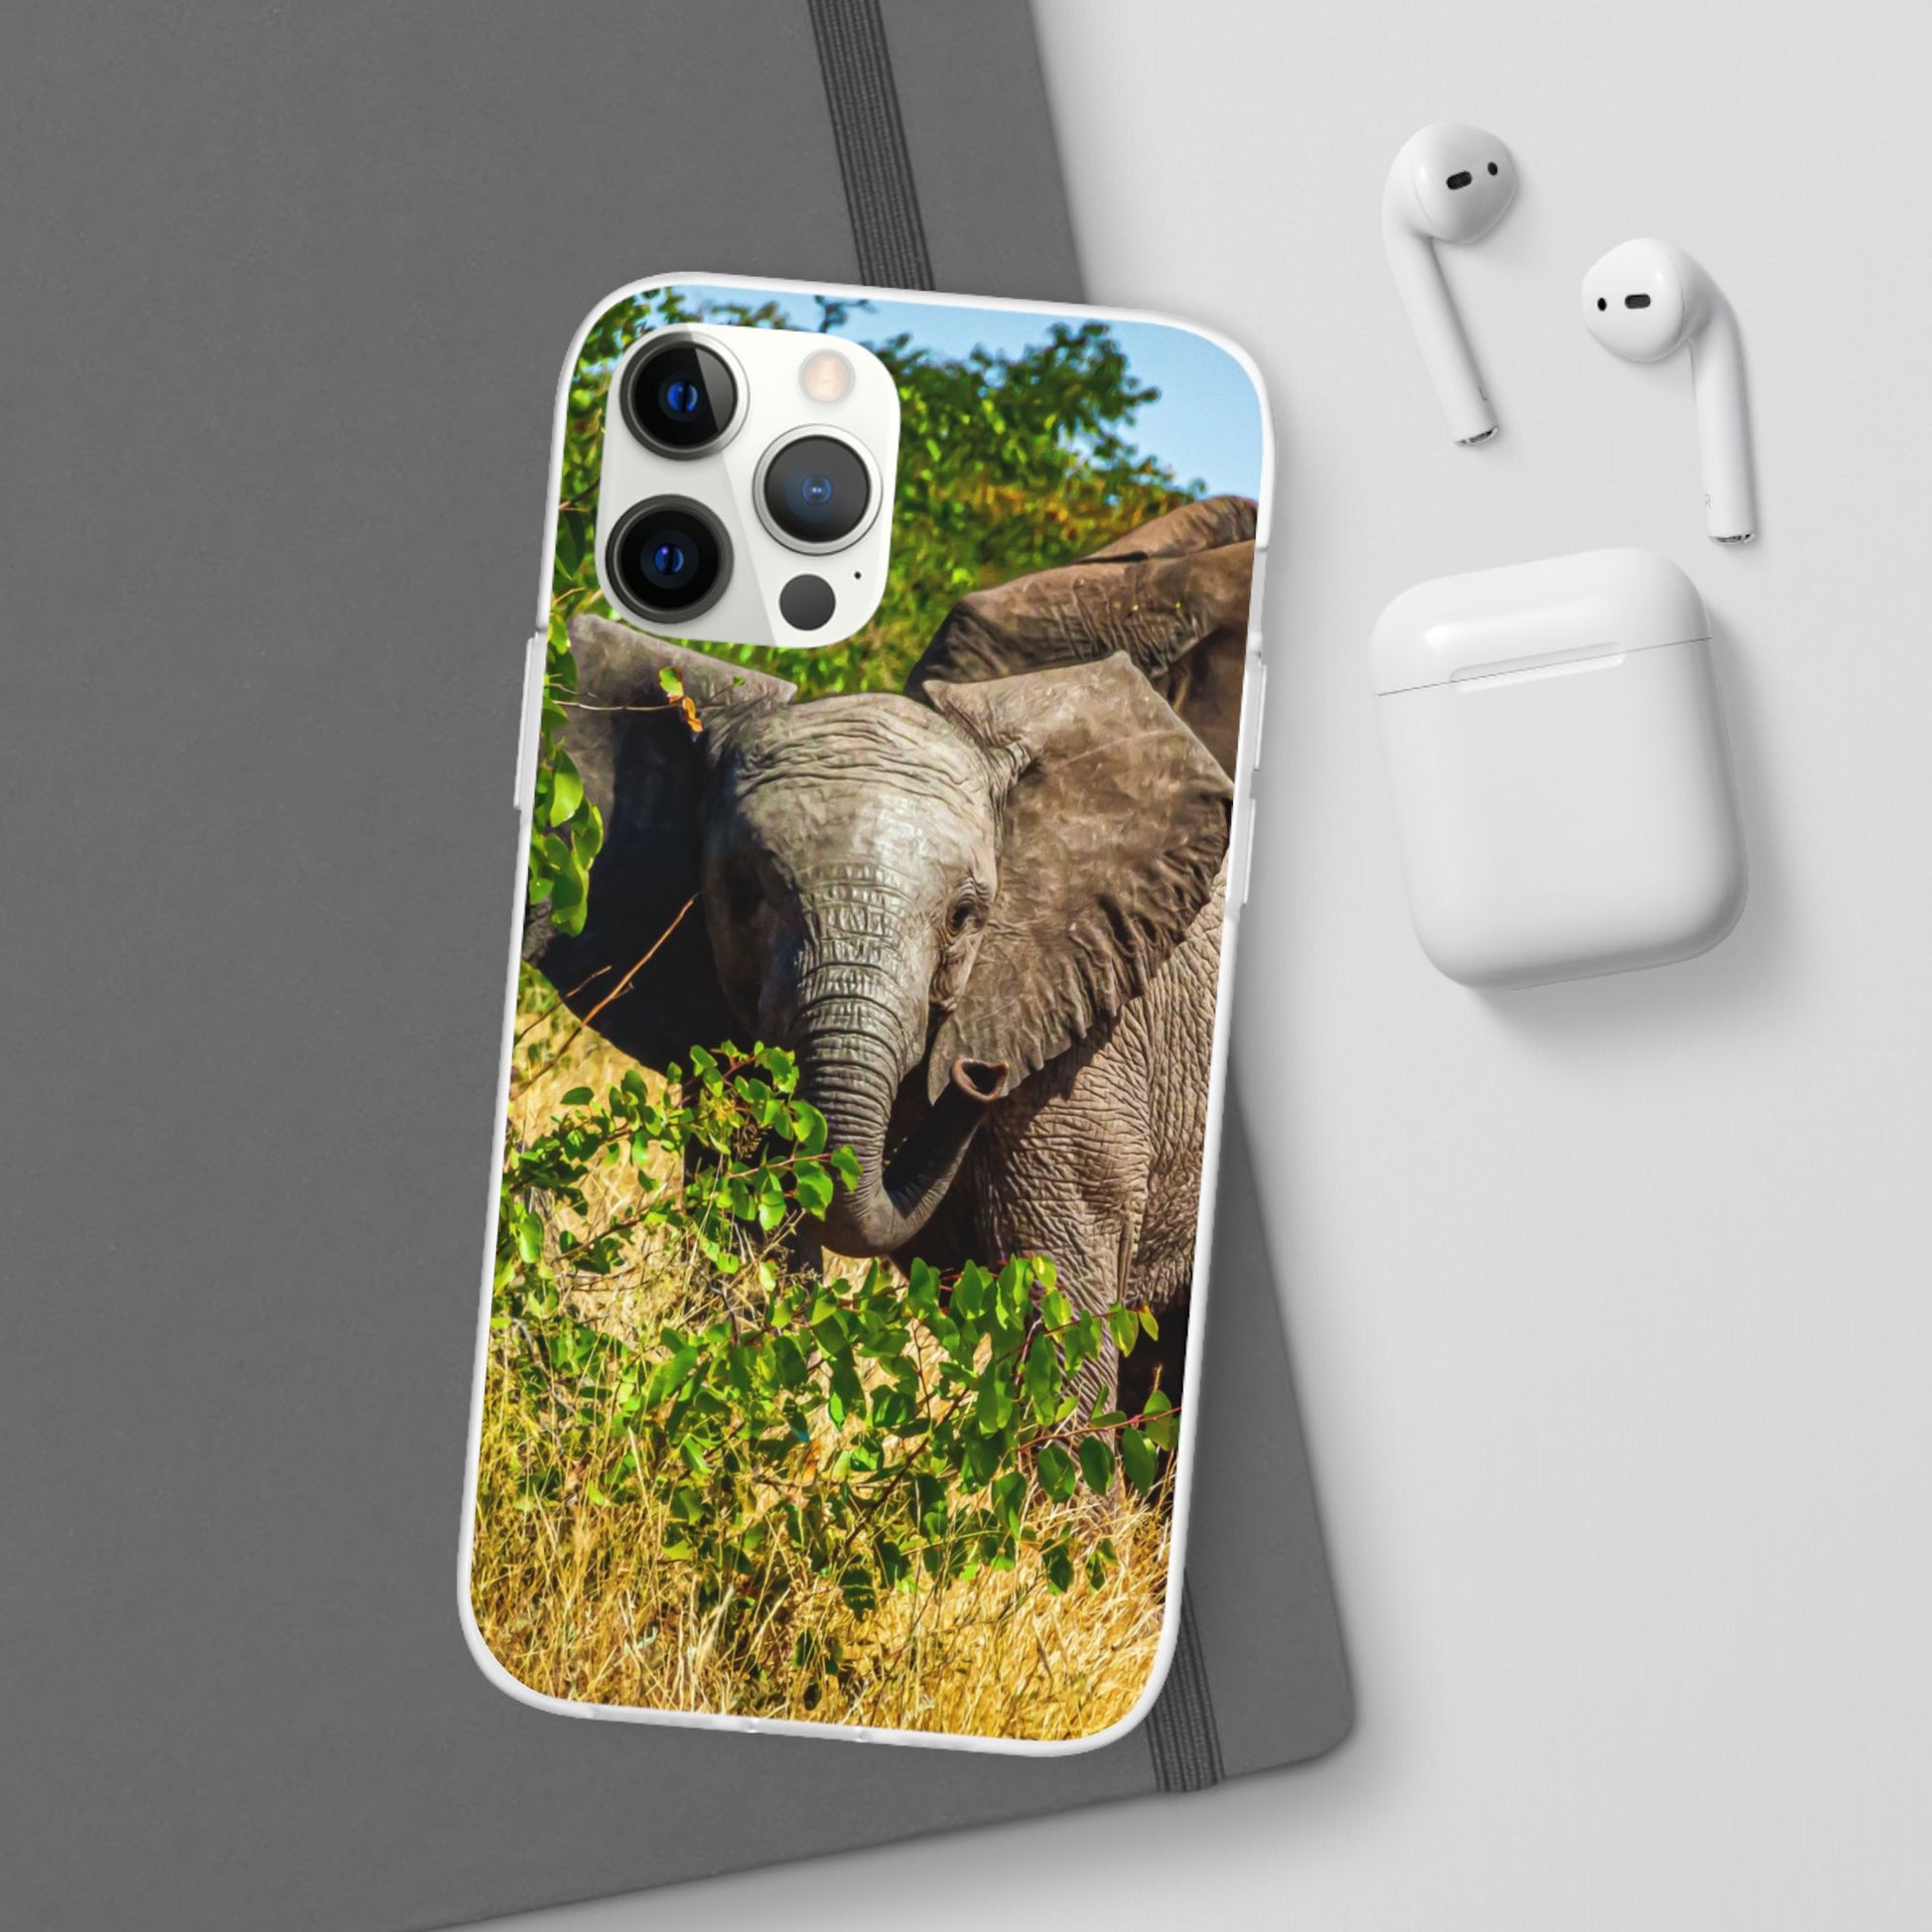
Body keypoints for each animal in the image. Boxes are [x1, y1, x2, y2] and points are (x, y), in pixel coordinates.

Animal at [523, 497, 1258, 1410]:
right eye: (740, 894)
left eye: (966, 918)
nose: (978, 1074)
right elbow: (749, 1233)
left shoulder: (1086, 1049)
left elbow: (1058, 1306)